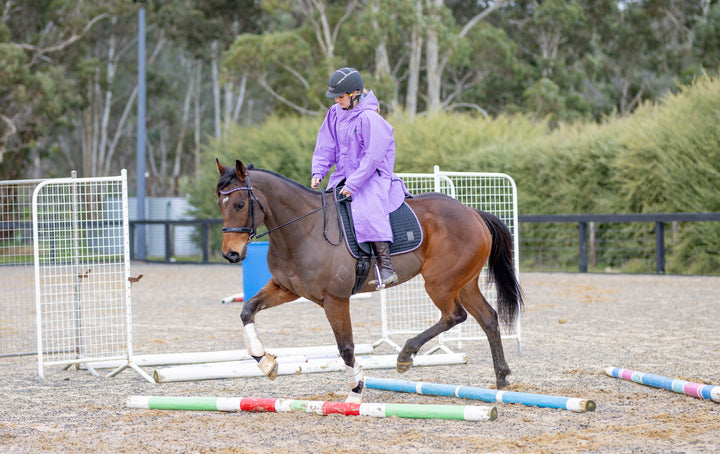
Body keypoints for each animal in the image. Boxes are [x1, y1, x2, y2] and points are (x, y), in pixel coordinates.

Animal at [214, 159, 524, 400]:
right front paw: (265, 362)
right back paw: (502, 378)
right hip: (464, 283)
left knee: (455, 316)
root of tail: (473, 213)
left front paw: (356, 389)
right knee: (488, 318)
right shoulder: (285, 288)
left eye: (240, 204)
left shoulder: (335, 300)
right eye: (220, 204)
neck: (303, 229)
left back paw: (405, 355)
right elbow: (247, 310)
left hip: (440, 283)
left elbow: (346, 347)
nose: (231, 254)